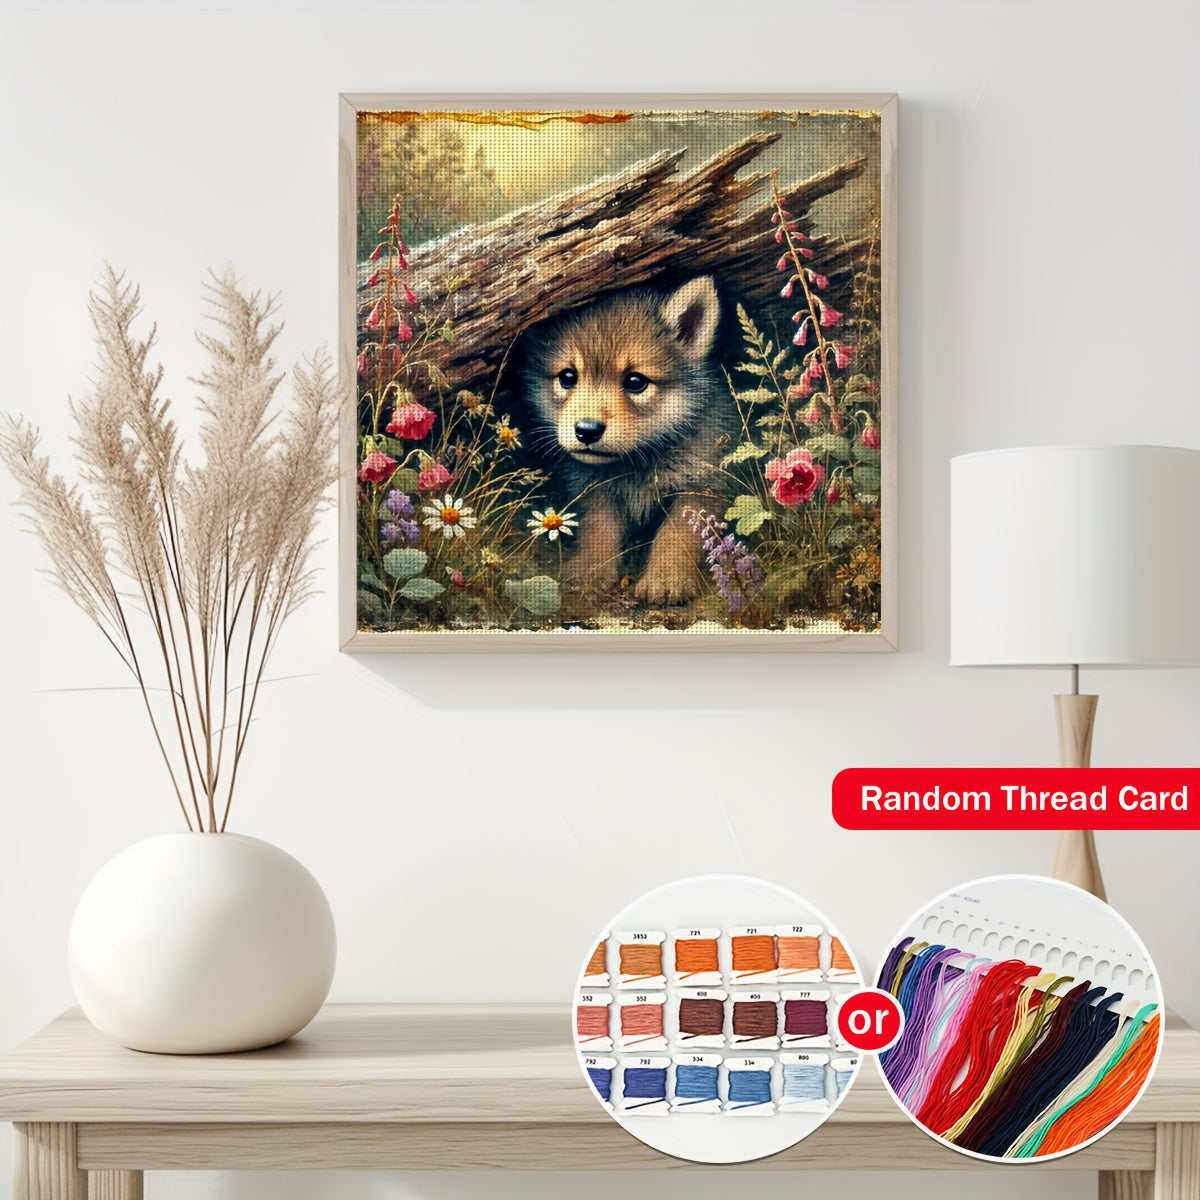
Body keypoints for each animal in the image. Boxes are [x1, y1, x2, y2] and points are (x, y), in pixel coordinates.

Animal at [520, 276, 734, 605]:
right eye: (567, 377)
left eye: (635, 381)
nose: (587, 430)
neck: (639, 461)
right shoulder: (595, 489)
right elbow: (598, 531)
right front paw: (591, 571)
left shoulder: (702, 485)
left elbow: (675, 534)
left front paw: (665, 579)